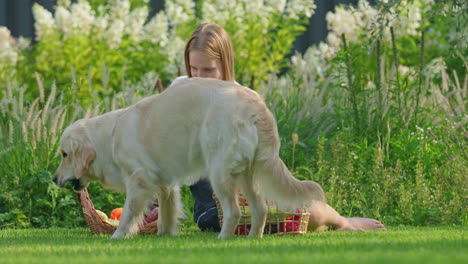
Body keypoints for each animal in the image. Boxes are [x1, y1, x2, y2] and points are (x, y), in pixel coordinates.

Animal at [53, 77, 324, 238]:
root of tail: (255, 105)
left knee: (234, 212)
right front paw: (165, 235)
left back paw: (223, 239)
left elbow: (129, 214)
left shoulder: (139, 182)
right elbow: (167, 211)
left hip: (220, 173)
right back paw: (252, 239)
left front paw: (118, 236)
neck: (108, 139)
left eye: (65, 154)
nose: (54, 179)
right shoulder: (165, 184)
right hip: (247, 174)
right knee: (261, 209)